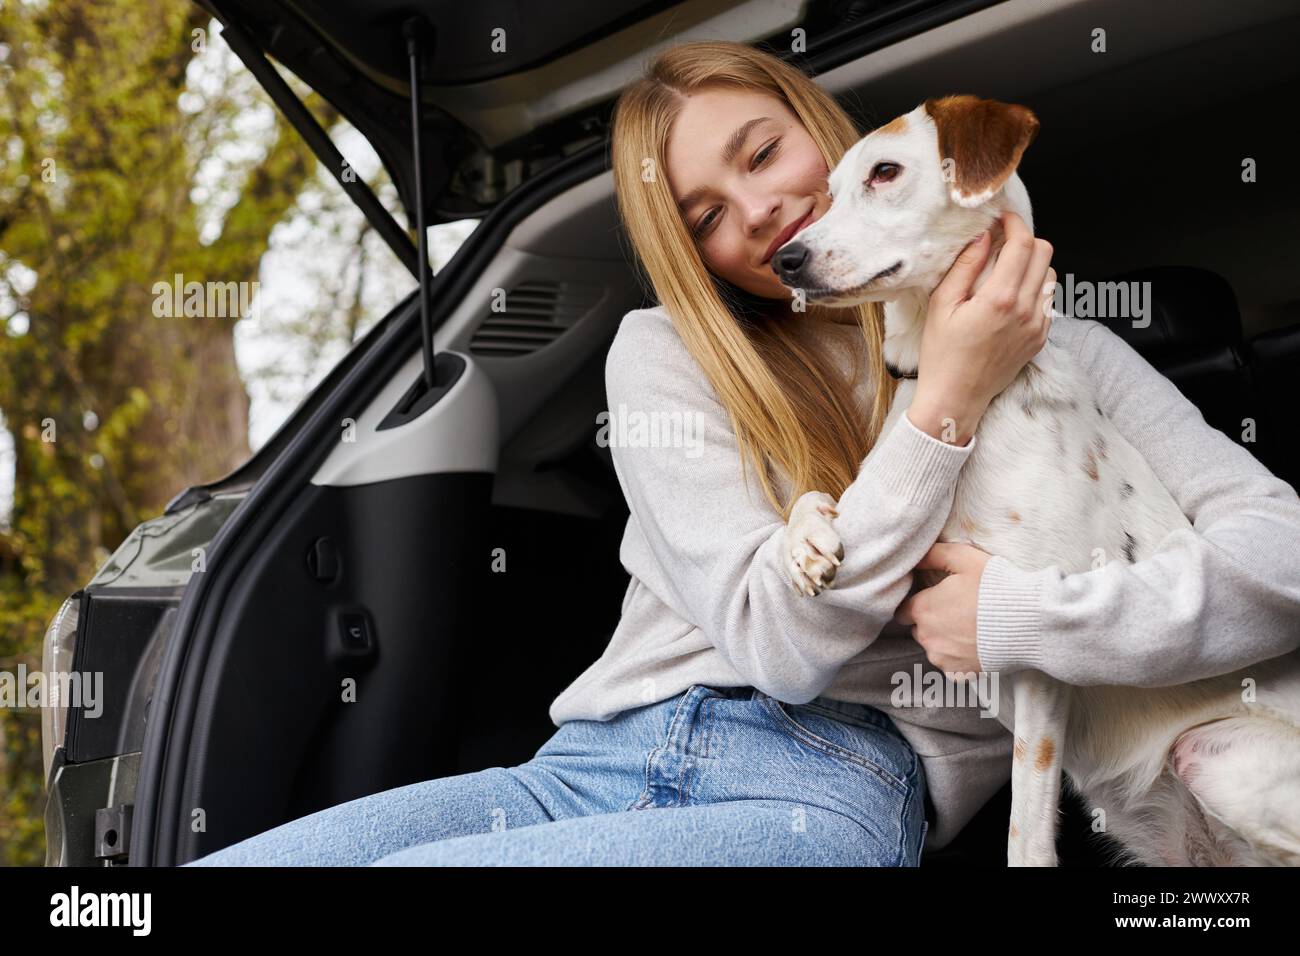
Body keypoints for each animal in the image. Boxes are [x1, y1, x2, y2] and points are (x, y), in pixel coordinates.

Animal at [769, 95, 1300, 868]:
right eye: (827, 193)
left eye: (886, 172)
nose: (785, 259)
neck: (968, 404)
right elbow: (817, 499)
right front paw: (805, 542)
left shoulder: (1037, 662)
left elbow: (1026, 834)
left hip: (1221, 757)